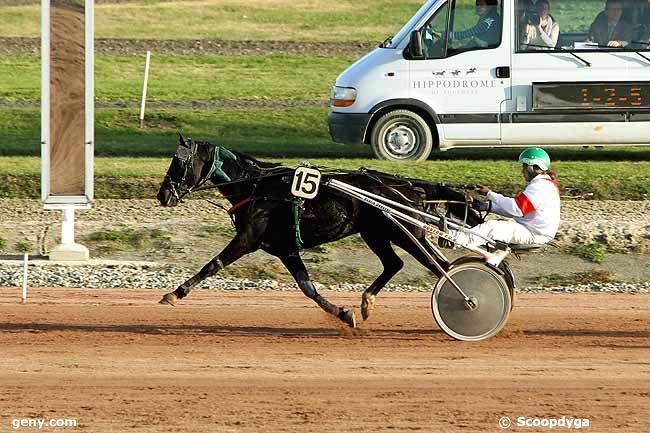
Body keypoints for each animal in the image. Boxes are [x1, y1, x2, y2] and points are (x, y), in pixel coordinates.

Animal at [157, 135, 480, 328]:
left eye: (179, 162)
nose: (163, 195)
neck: (257, 187)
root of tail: (408, 187)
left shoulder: (248, 238)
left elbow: (213, 264)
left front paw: (175, 293)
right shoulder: (286, 248)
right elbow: (308, 287)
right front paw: (344, 314)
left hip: (403, 232)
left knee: (439, 267)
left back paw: (469, 300)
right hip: (377, 233)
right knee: (396, 263)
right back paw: (366, 302)